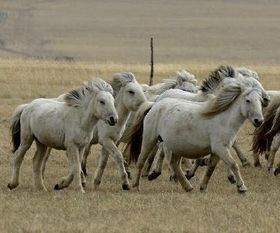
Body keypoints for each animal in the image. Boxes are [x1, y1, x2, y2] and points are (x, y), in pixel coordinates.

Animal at [128, 76, 264, 193]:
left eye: (260, 101)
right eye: (248, 100)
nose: (259, 121)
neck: (224, 120)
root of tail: (154, 105)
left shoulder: (217, 152)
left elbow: (210, 168)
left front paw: (203, 187)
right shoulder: (220, 149)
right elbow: (233, 164)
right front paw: (241, 187)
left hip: (176, 146)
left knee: (174, 164)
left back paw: (187, 186)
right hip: (149, 140)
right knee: (141, 161)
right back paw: (136, 185)